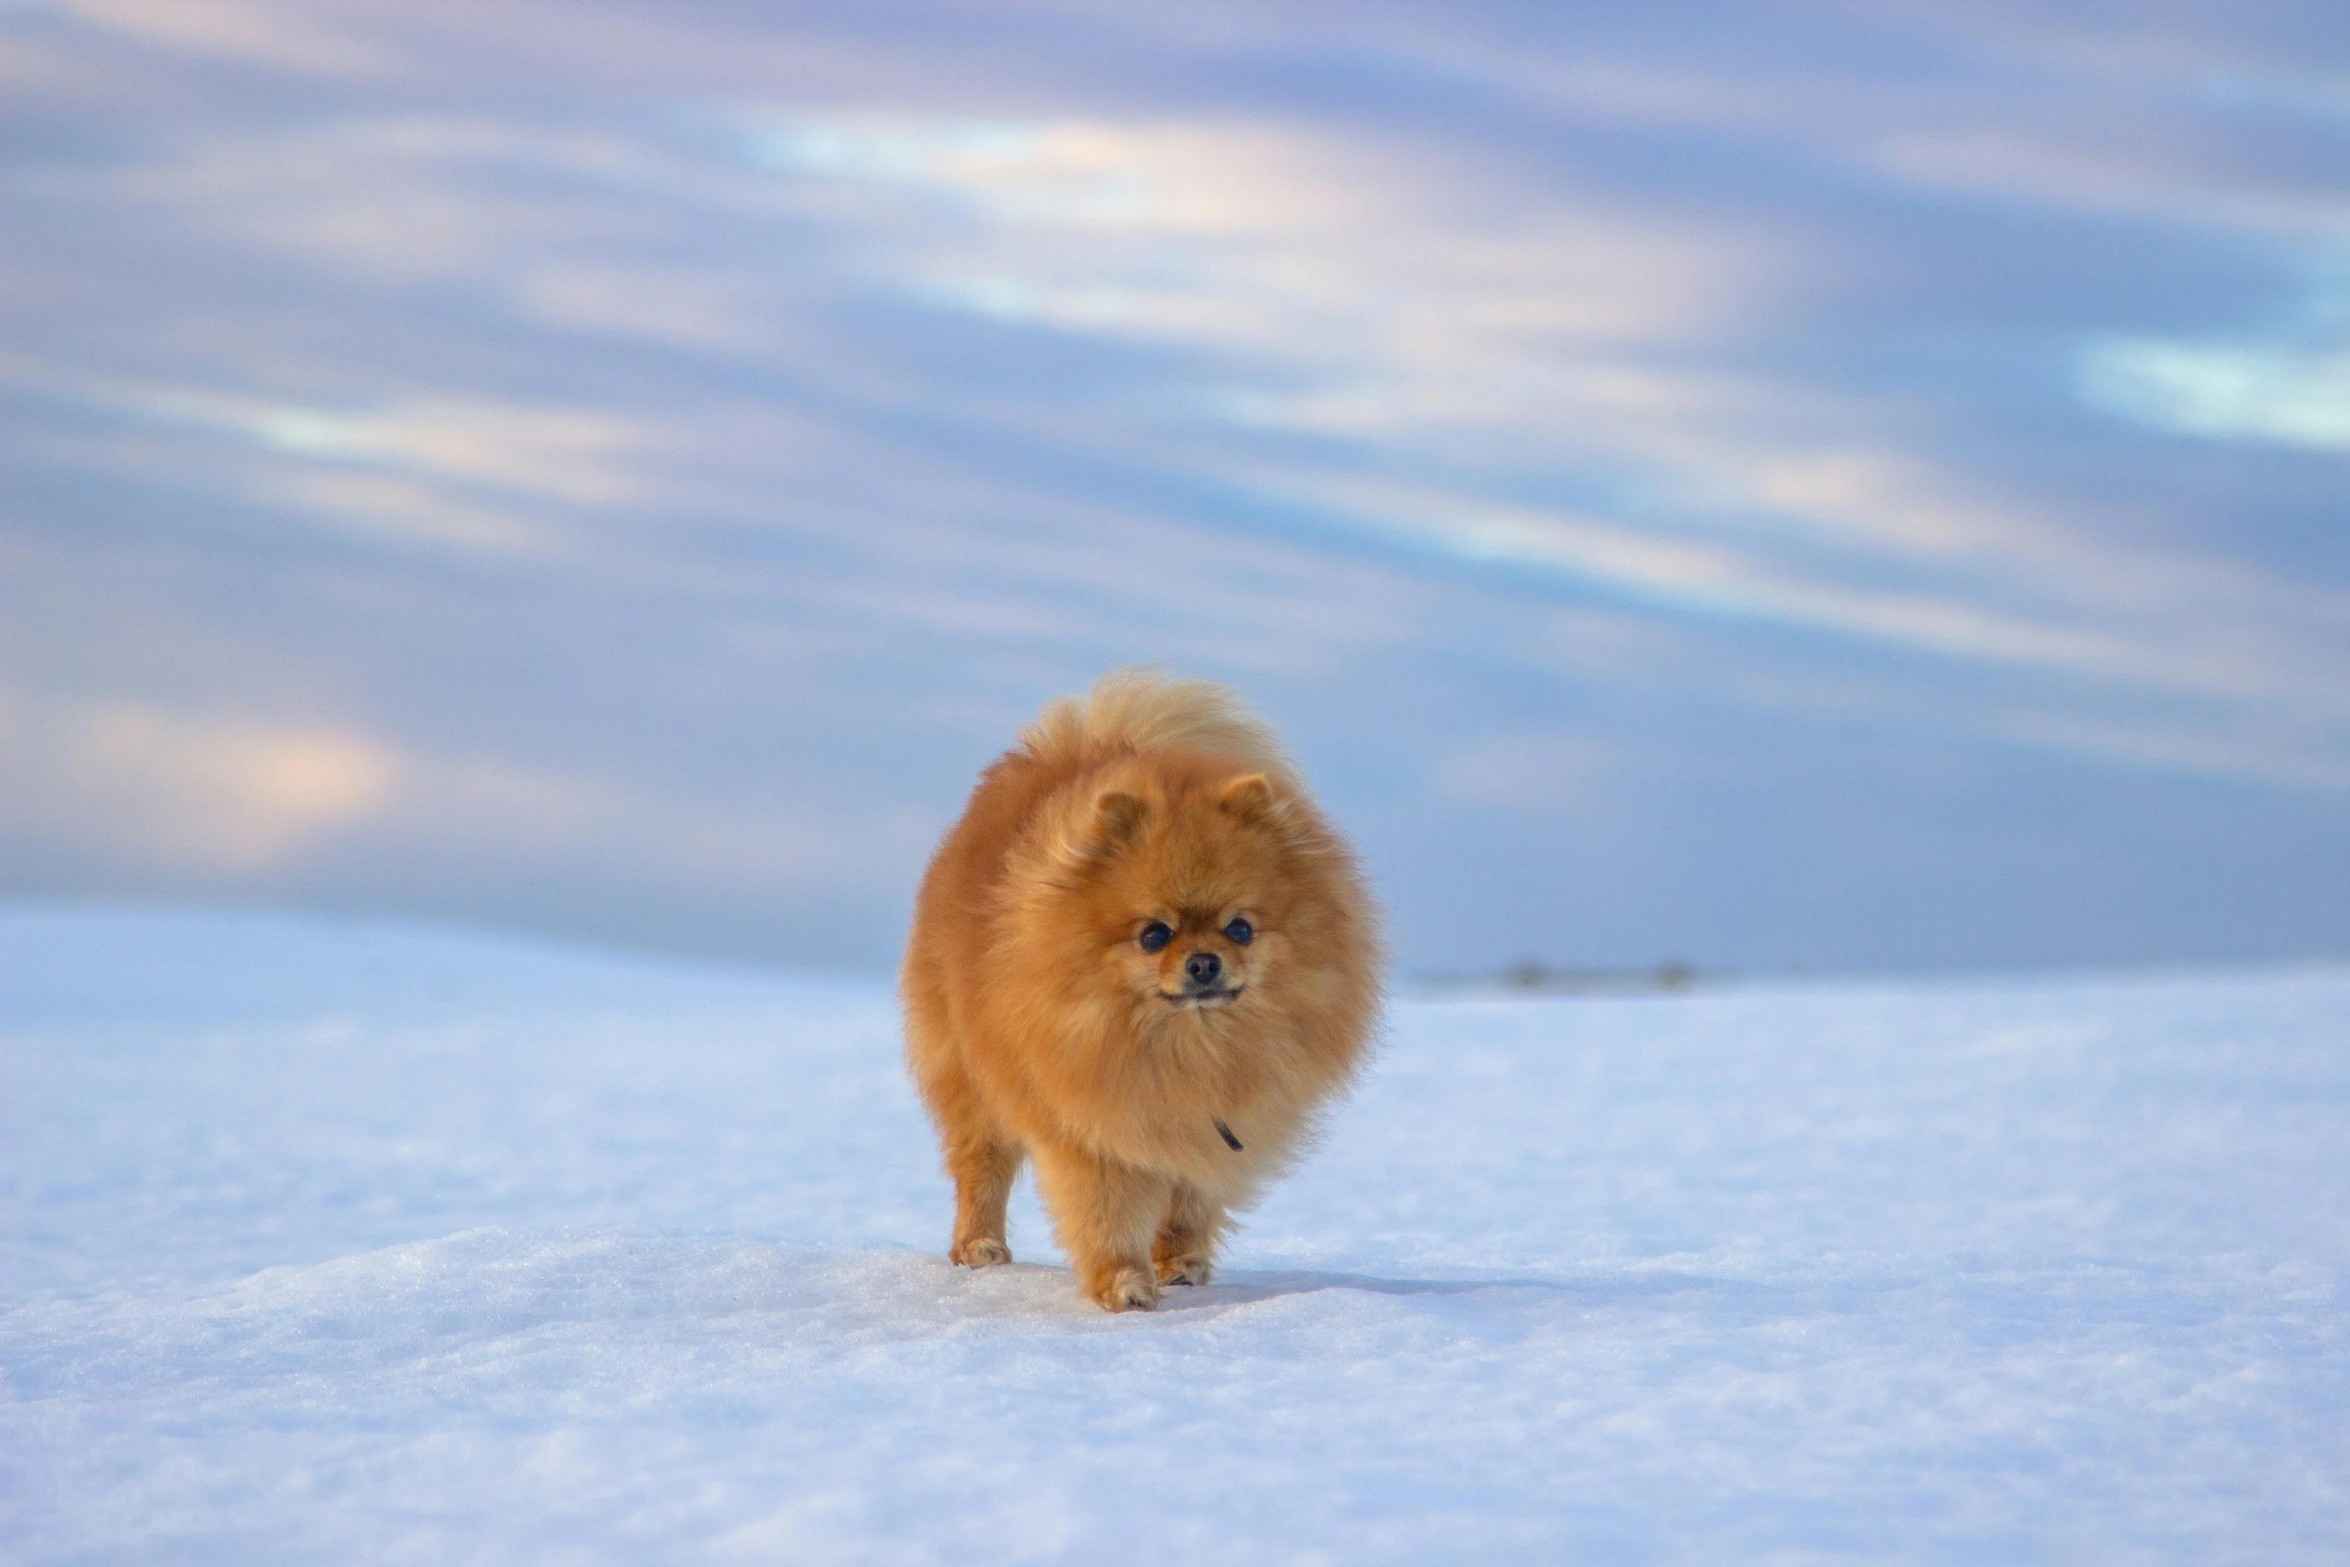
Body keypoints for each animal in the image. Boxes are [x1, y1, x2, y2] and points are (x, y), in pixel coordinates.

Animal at [892, 671, 1372, 1315]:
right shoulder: (1092, 1127)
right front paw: (1124, 1285)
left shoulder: (1209, 1128)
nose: (1204, 962)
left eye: (1240, 928)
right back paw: (979, 1248)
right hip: (969, 1079)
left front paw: (1181, 1263)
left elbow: (1192, 1199)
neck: (1189, 1047)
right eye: (1154, 935)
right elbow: (1108, 1213)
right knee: (981, 1167)